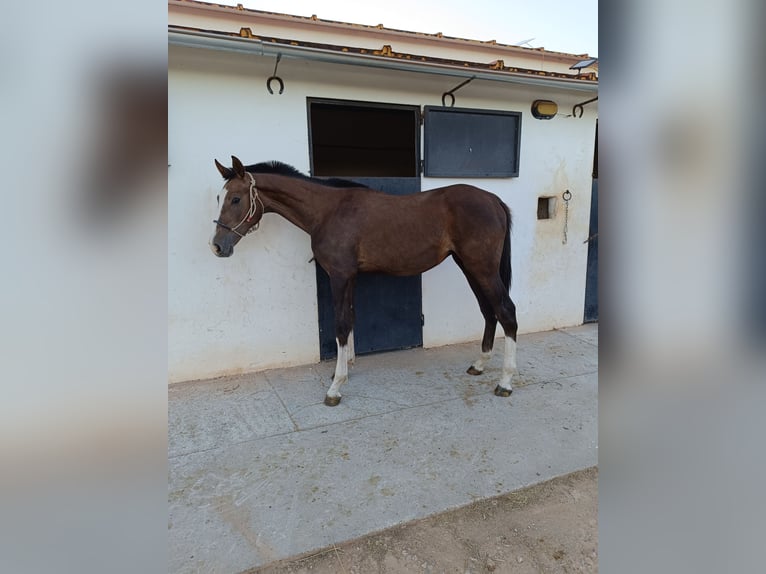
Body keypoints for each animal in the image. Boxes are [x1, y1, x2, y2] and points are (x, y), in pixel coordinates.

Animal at [210, 155, 520, 408]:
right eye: (218, 198)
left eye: (235, 199)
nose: (217, 246)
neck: (328, 210)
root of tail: (493, 200)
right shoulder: (350, 277)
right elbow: (350, 319)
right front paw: (343, 369)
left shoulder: (339, 275)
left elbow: (340, 324)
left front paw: (335, 388)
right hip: (469, 267)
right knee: (488, 311)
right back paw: (479, 365)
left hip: (482, 268)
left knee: (506, 311)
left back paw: (505, 383)